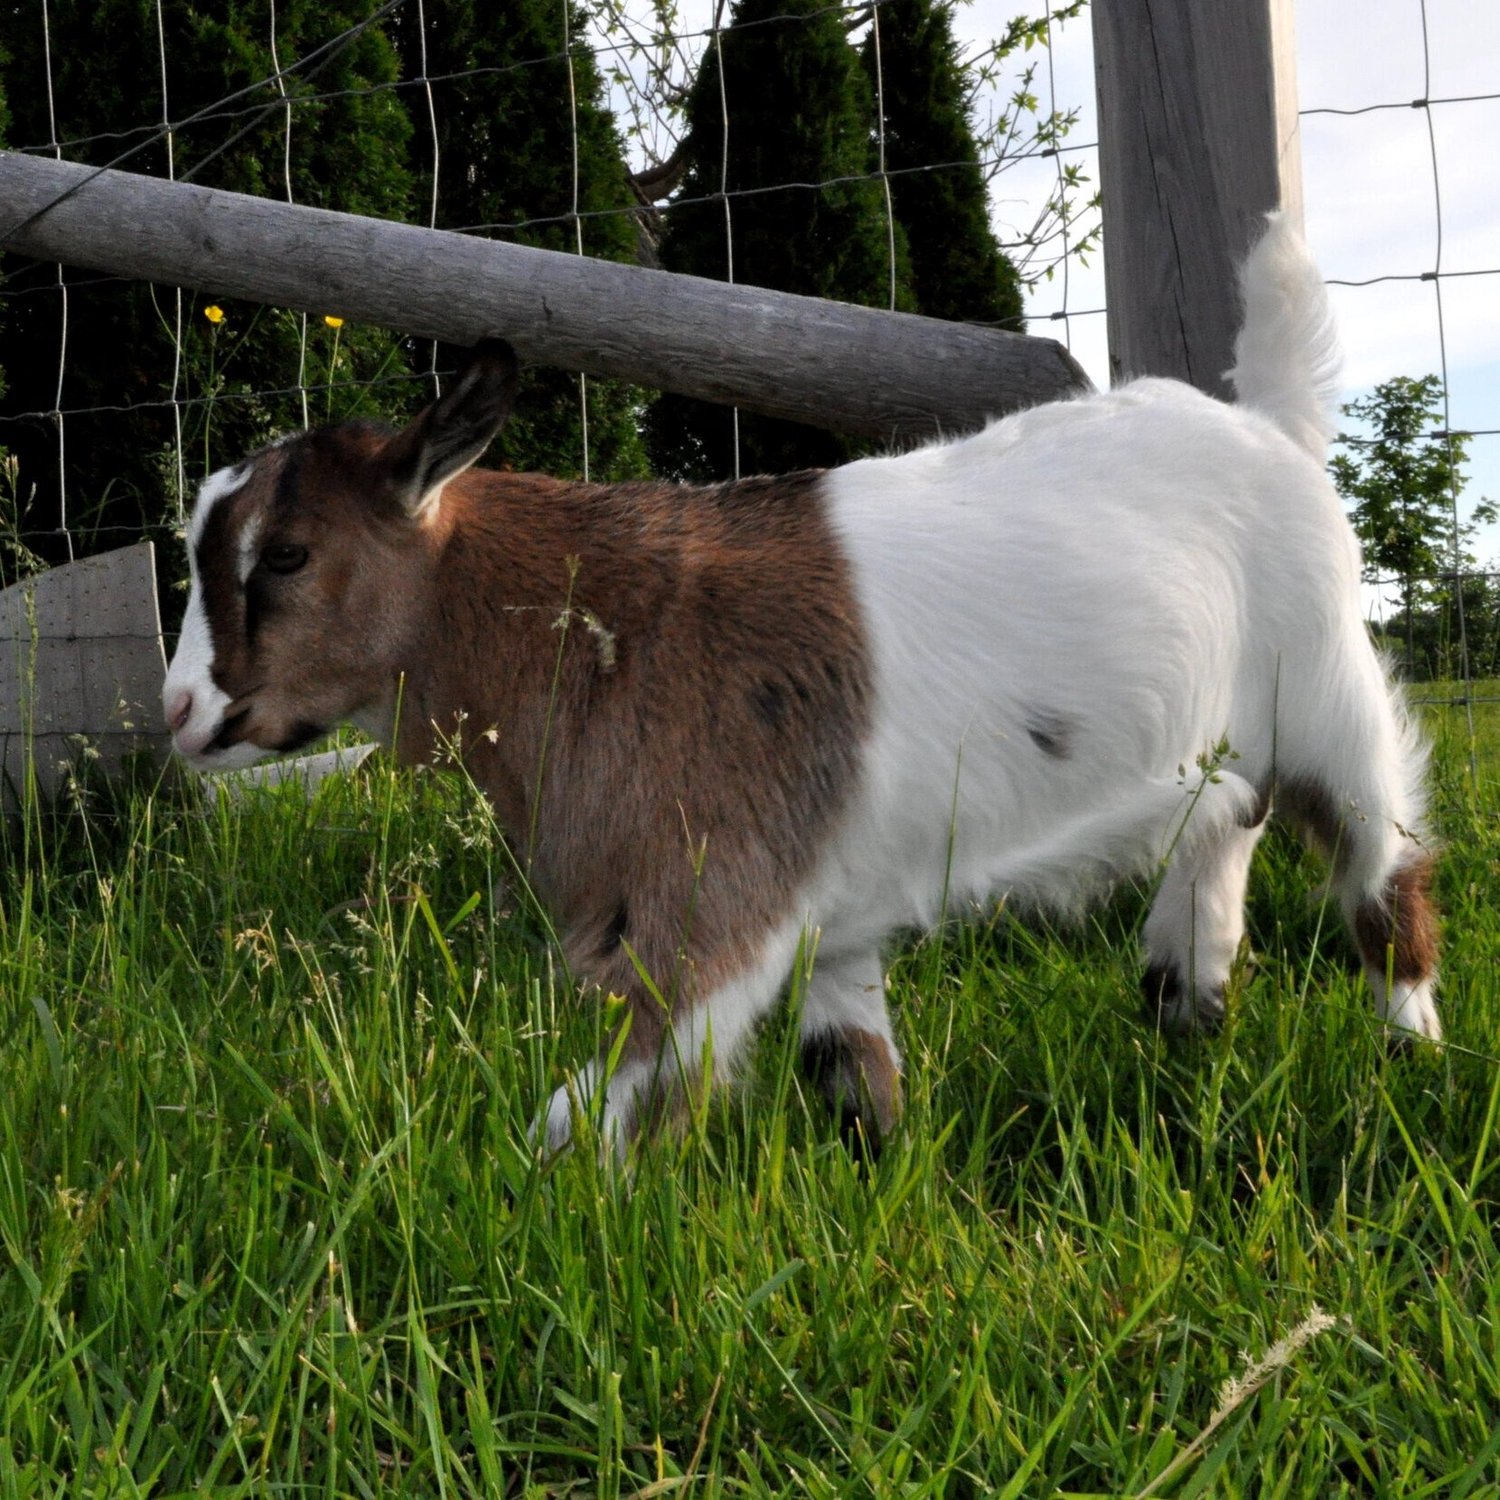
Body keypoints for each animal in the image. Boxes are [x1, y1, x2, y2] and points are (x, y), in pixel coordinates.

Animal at [162, 214, 1440, 1153]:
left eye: (286, 555)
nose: (179, 713)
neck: (600, 618)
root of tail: (1266, 424)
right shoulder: (830, 916)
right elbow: (857, 1079)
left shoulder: (707, 904)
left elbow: (592, 1116)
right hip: (1219, 751)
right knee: (1227, 827)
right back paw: (1188, 1004)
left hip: (1331, 698)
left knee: (1384, 880)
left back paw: (1413, 1058)